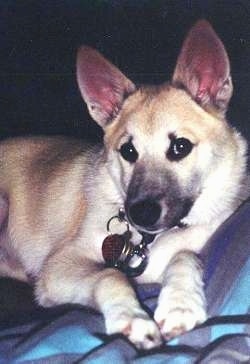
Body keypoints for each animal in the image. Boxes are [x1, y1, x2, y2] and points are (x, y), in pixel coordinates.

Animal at [0, 19, 248, 350]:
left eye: (180, 146)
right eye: (128, 151)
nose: (140, 214)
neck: (148, 241)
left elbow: (185, 257)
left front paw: (180, 304)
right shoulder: (61, 265)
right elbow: (110, 277)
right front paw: (132, 318)